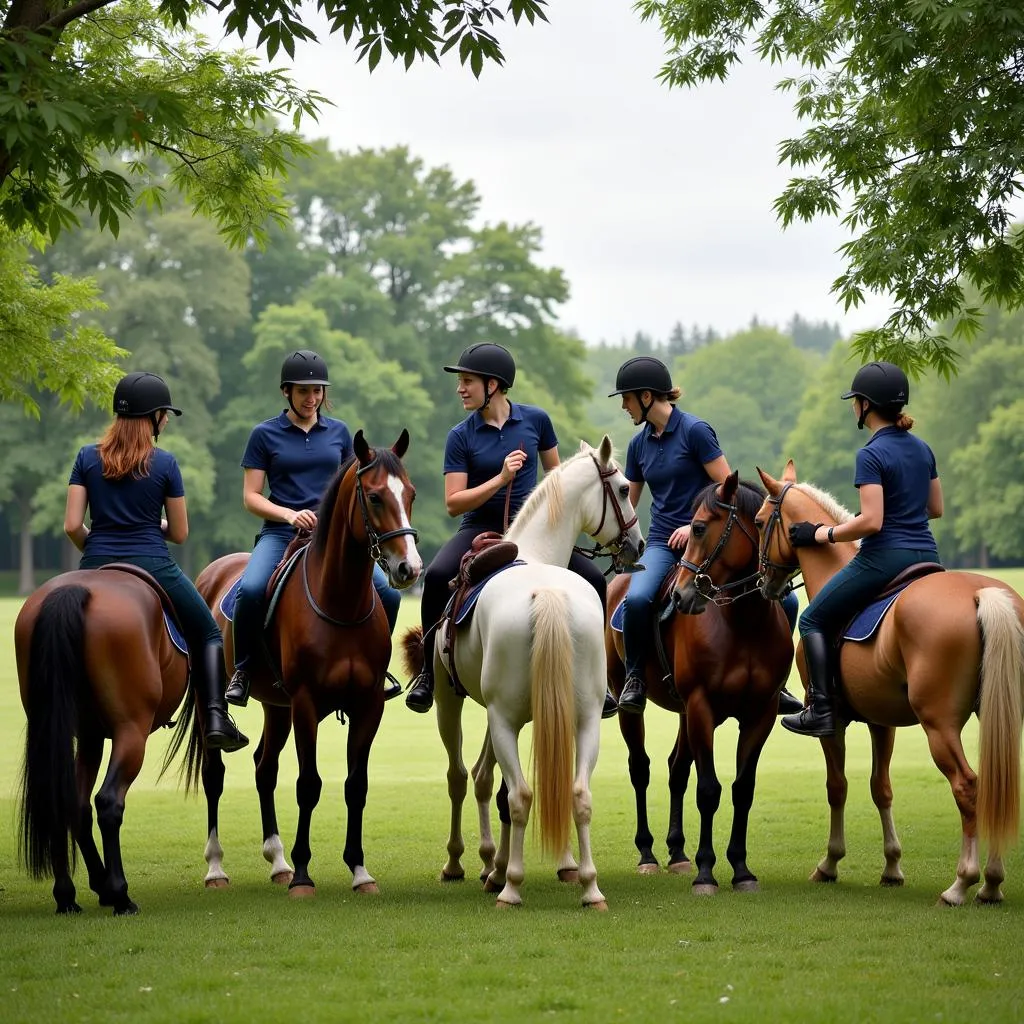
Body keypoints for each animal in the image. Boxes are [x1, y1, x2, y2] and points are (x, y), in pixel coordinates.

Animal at [15, 573, 192, 917]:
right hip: (131, 731)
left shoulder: (90, 735)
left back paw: (68, 895)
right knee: (109, 802)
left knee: (68, 802)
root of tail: (74, 589)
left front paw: (98, 884)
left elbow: (78, 806)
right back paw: (121, 895)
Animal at [193, 430, 421, 897]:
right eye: (374, 497)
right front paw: (302, 875)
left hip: (275, 707)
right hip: (222, 702)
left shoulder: (368, 705)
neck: (339, 601)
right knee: (215, 773)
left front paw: (359, 871)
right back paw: (217, 867)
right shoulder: (306, 704)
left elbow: (356, 786)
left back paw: (277, 860)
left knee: (264, 768)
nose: (410, 568)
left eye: (410, 493)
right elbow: (308, 785)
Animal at [399, 436, 638, 909]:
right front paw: (494, 862)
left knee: (506, 789)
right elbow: (487, 781)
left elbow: (474, 780)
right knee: (574, 793)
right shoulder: (498, 711)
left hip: (497, 715)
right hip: (575, 717)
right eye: (623, 489)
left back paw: (504, 881)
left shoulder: (471, 706)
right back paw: (588, 887)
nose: (636, 544)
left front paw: (481, 864)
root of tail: (546, 593)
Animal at [602, 471, 794, 897]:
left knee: (677, 769)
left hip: (683, 712)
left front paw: (741, 869)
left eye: (701, 527)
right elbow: (708, 790)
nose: (681, 595)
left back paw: (677, 853)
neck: (744, 624)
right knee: (640, 768)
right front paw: (707, 872)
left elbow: (742, 789)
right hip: (634, 706)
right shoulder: (702, 706)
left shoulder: (760, 714)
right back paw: (648, 854)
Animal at [753, 462, 1024, 905]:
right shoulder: (882, 721)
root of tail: (983, 594)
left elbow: (837, 786)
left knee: (968, 786)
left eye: (760, 522)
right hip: (999, 713)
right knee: (998, 784)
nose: (764, 584)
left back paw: (962, 883)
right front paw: (893, 866)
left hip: (939, 724)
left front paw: (830, 863)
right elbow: (881, 788)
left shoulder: (834, 723)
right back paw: (992, 883)